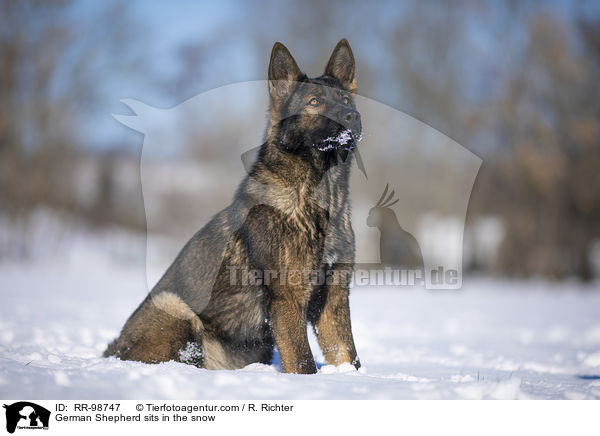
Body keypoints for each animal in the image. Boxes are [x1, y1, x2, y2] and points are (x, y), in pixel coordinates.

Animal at [104, 39, 360, 374]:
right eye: (314, 101)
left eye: (346, 99)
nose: (352, 116)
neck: (322, 197)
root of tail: (114, 349)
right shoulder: (288, 298)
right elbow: (303, 361)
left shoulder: (333, 298)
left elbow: (348, 355)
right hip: (176, 307)